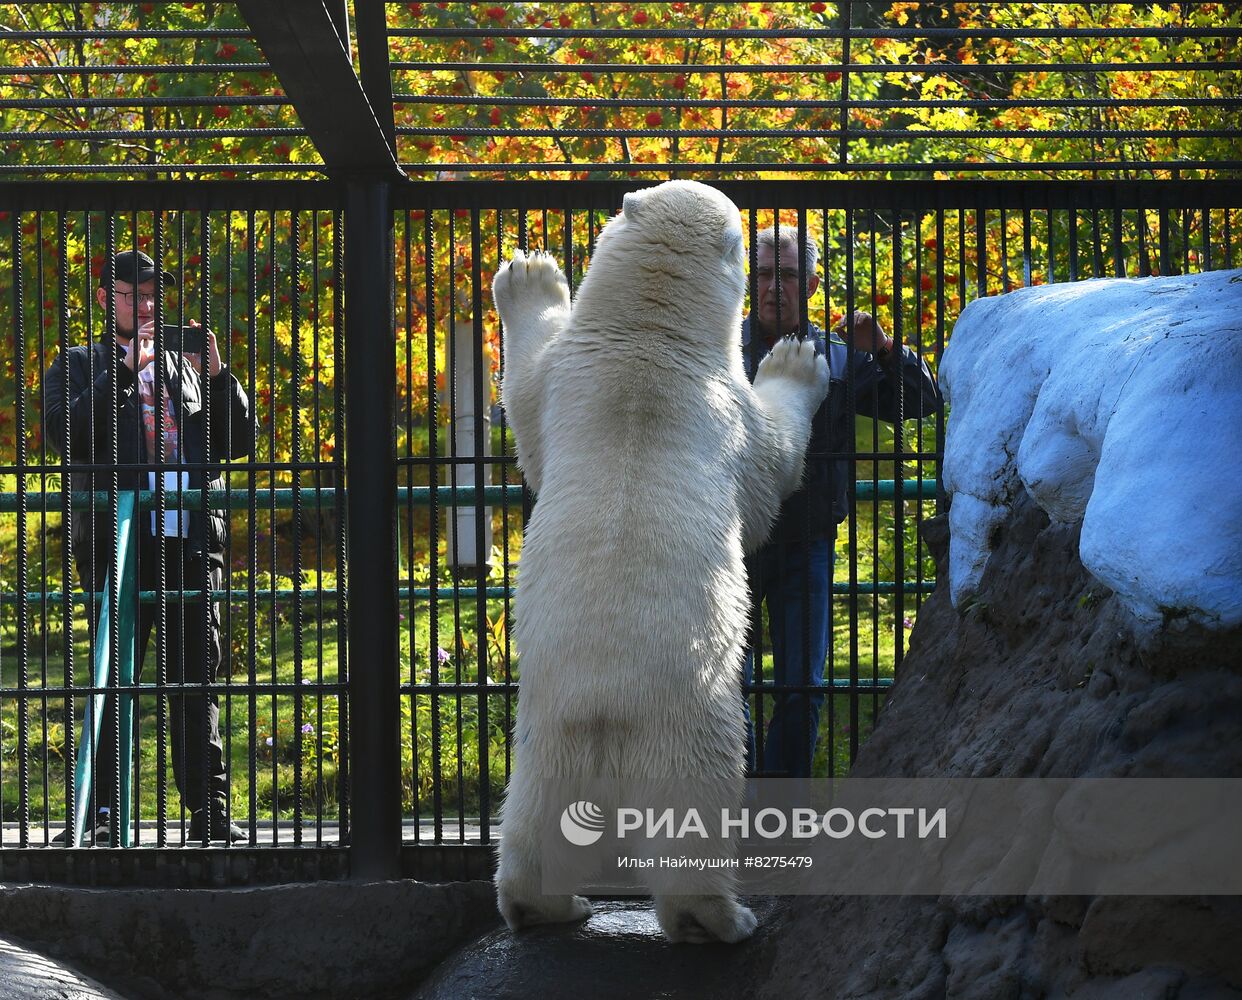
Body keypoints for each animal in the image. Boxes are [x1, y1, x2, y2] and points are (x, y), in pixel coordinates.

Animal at [489, 181, 829, 944]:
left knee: (532, 824)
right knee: (696, 819)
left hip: (543, 740)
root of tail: (605, 720)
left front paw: (526, 273)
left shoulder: (569, 377)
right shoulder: (728, 406)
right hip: (691, 732)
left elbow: (527, 406)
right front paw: (796, 359)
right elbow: (771, 474)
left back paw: (546, 904)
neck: (646, 339)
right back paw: (718, 918)